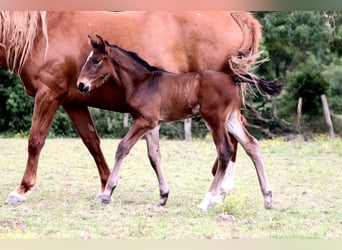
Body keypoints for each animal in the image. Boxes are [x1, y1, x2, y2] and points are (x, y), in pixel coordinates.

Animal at [1, 11, 262, 205]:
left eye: (96, 61)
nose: (82, 83)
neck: (40, 34)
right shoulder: (73, 101)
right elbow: (92, 142)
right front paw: (106, 186)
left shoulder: (49, 94)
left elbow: (35, 140)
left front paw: (21, 189)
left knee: (229, 143)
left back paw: (218, 191)